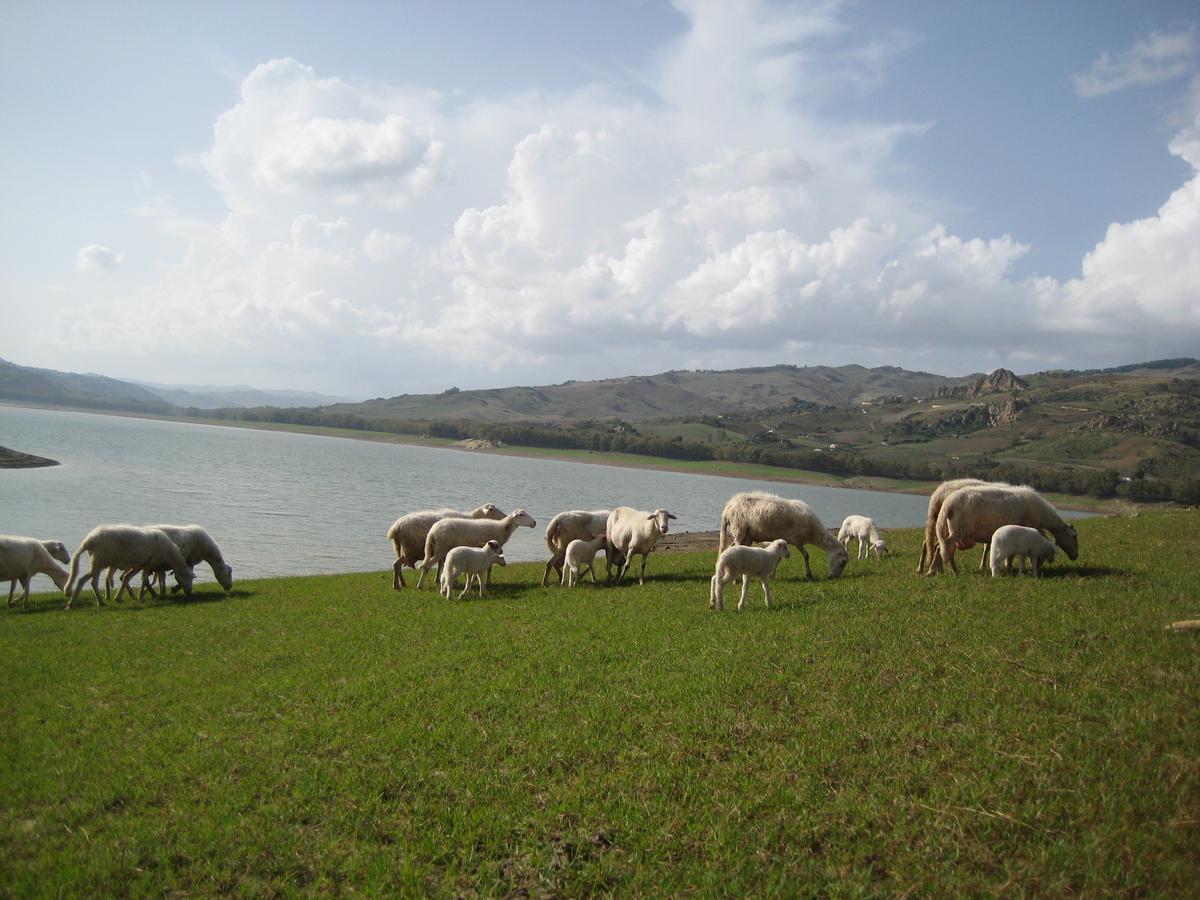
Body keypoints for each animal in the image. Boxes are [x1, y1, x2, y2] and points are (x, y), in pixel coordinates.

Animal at [65, 525, 194, 609]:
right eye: (189, 577)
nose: (189, 592)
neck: (170, 555)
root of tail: (88, 540)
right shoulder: (148, 565)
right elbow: (144, 581)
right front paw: (144, 596)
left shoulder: (140, 565)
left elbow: (127, 577)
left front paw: (121, 597)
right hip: (99, 561)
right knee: (83, 580)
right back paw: (71, 604)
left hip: (98, 562)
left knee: (92, 582)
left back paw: (100, 602)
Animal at [715, 494, 849, 585]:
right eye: (842, 562)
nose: (833, 577)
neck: (814, 532)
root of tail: (728, 507)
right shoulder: (796, 540)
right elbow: (806, 555)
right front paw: (809, 575)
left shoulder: (786, 540)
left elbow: (779, 558)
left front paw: (772, 576)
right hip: (739, 528)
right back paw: (735, 580)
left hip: (747, 535)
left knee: (730, 549)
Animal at [931, 487, 1084, 578]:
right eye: (1074, 536)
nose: (1076, 556)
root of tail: (948, 502)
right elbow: (1012, 555)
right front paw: (1009, 569)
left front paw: (1009, 568)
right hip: (958, 530)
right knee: (944, 548)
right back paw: (948, 571)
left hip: (951, 530)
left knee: (940, 547)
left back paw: (936, 570)